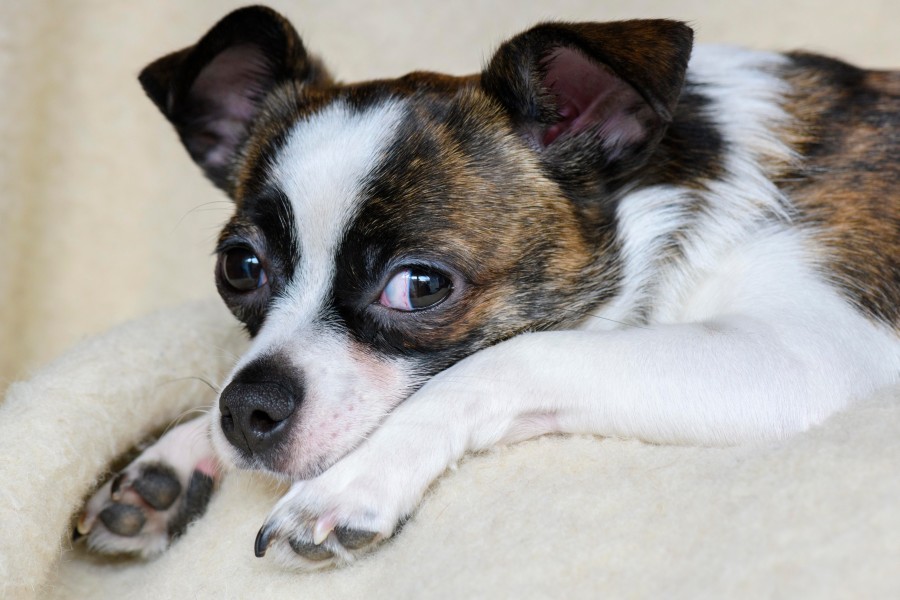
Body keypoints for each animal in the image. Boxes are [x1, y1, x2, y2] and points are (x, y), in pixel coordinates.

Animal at [74, 3, 896, 568]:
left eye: (418, 287)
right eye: (239, 269)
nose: (247, 410)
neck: (663, 190)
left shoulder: (805, 352)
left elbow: (513, 358)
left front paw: (354, 480)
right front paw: (182, 452)